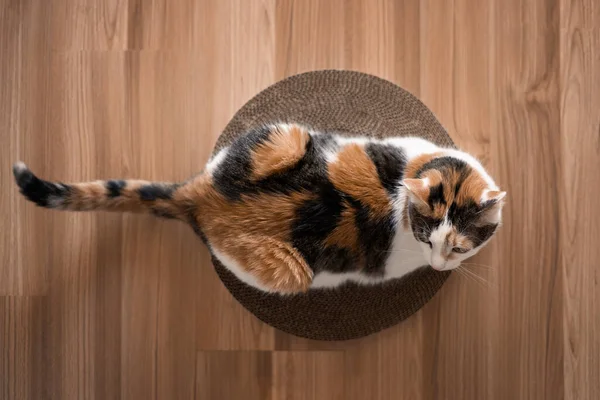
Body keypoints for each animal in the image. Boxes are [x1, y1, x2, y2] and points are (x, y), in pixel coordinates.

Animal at [11, 123, 504, 296]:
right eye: (426, 239)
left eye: (459, 247)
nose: (439, 265)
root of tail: (202, 197)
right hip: (290, 270)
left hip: (281, 137)